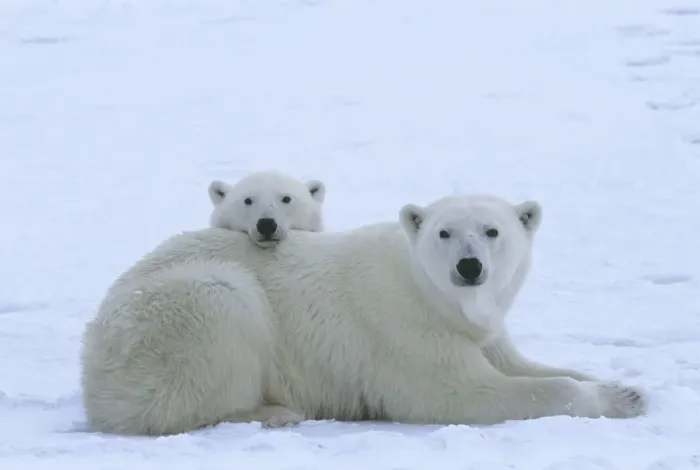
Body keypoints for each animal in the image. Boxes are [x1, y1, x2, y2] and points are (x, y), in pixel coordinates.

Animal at [80, 193, 647, 436]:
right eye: (444, 232)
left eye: (492, 230)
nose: (469, 267)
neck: (431, 293)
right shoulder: (404, 329)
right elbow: (462, 393)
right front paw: (616, 400)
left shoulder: (481, 330)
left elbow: (522, 363)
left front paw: (627, 388)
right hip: (177, 313)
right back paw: (275, 412)